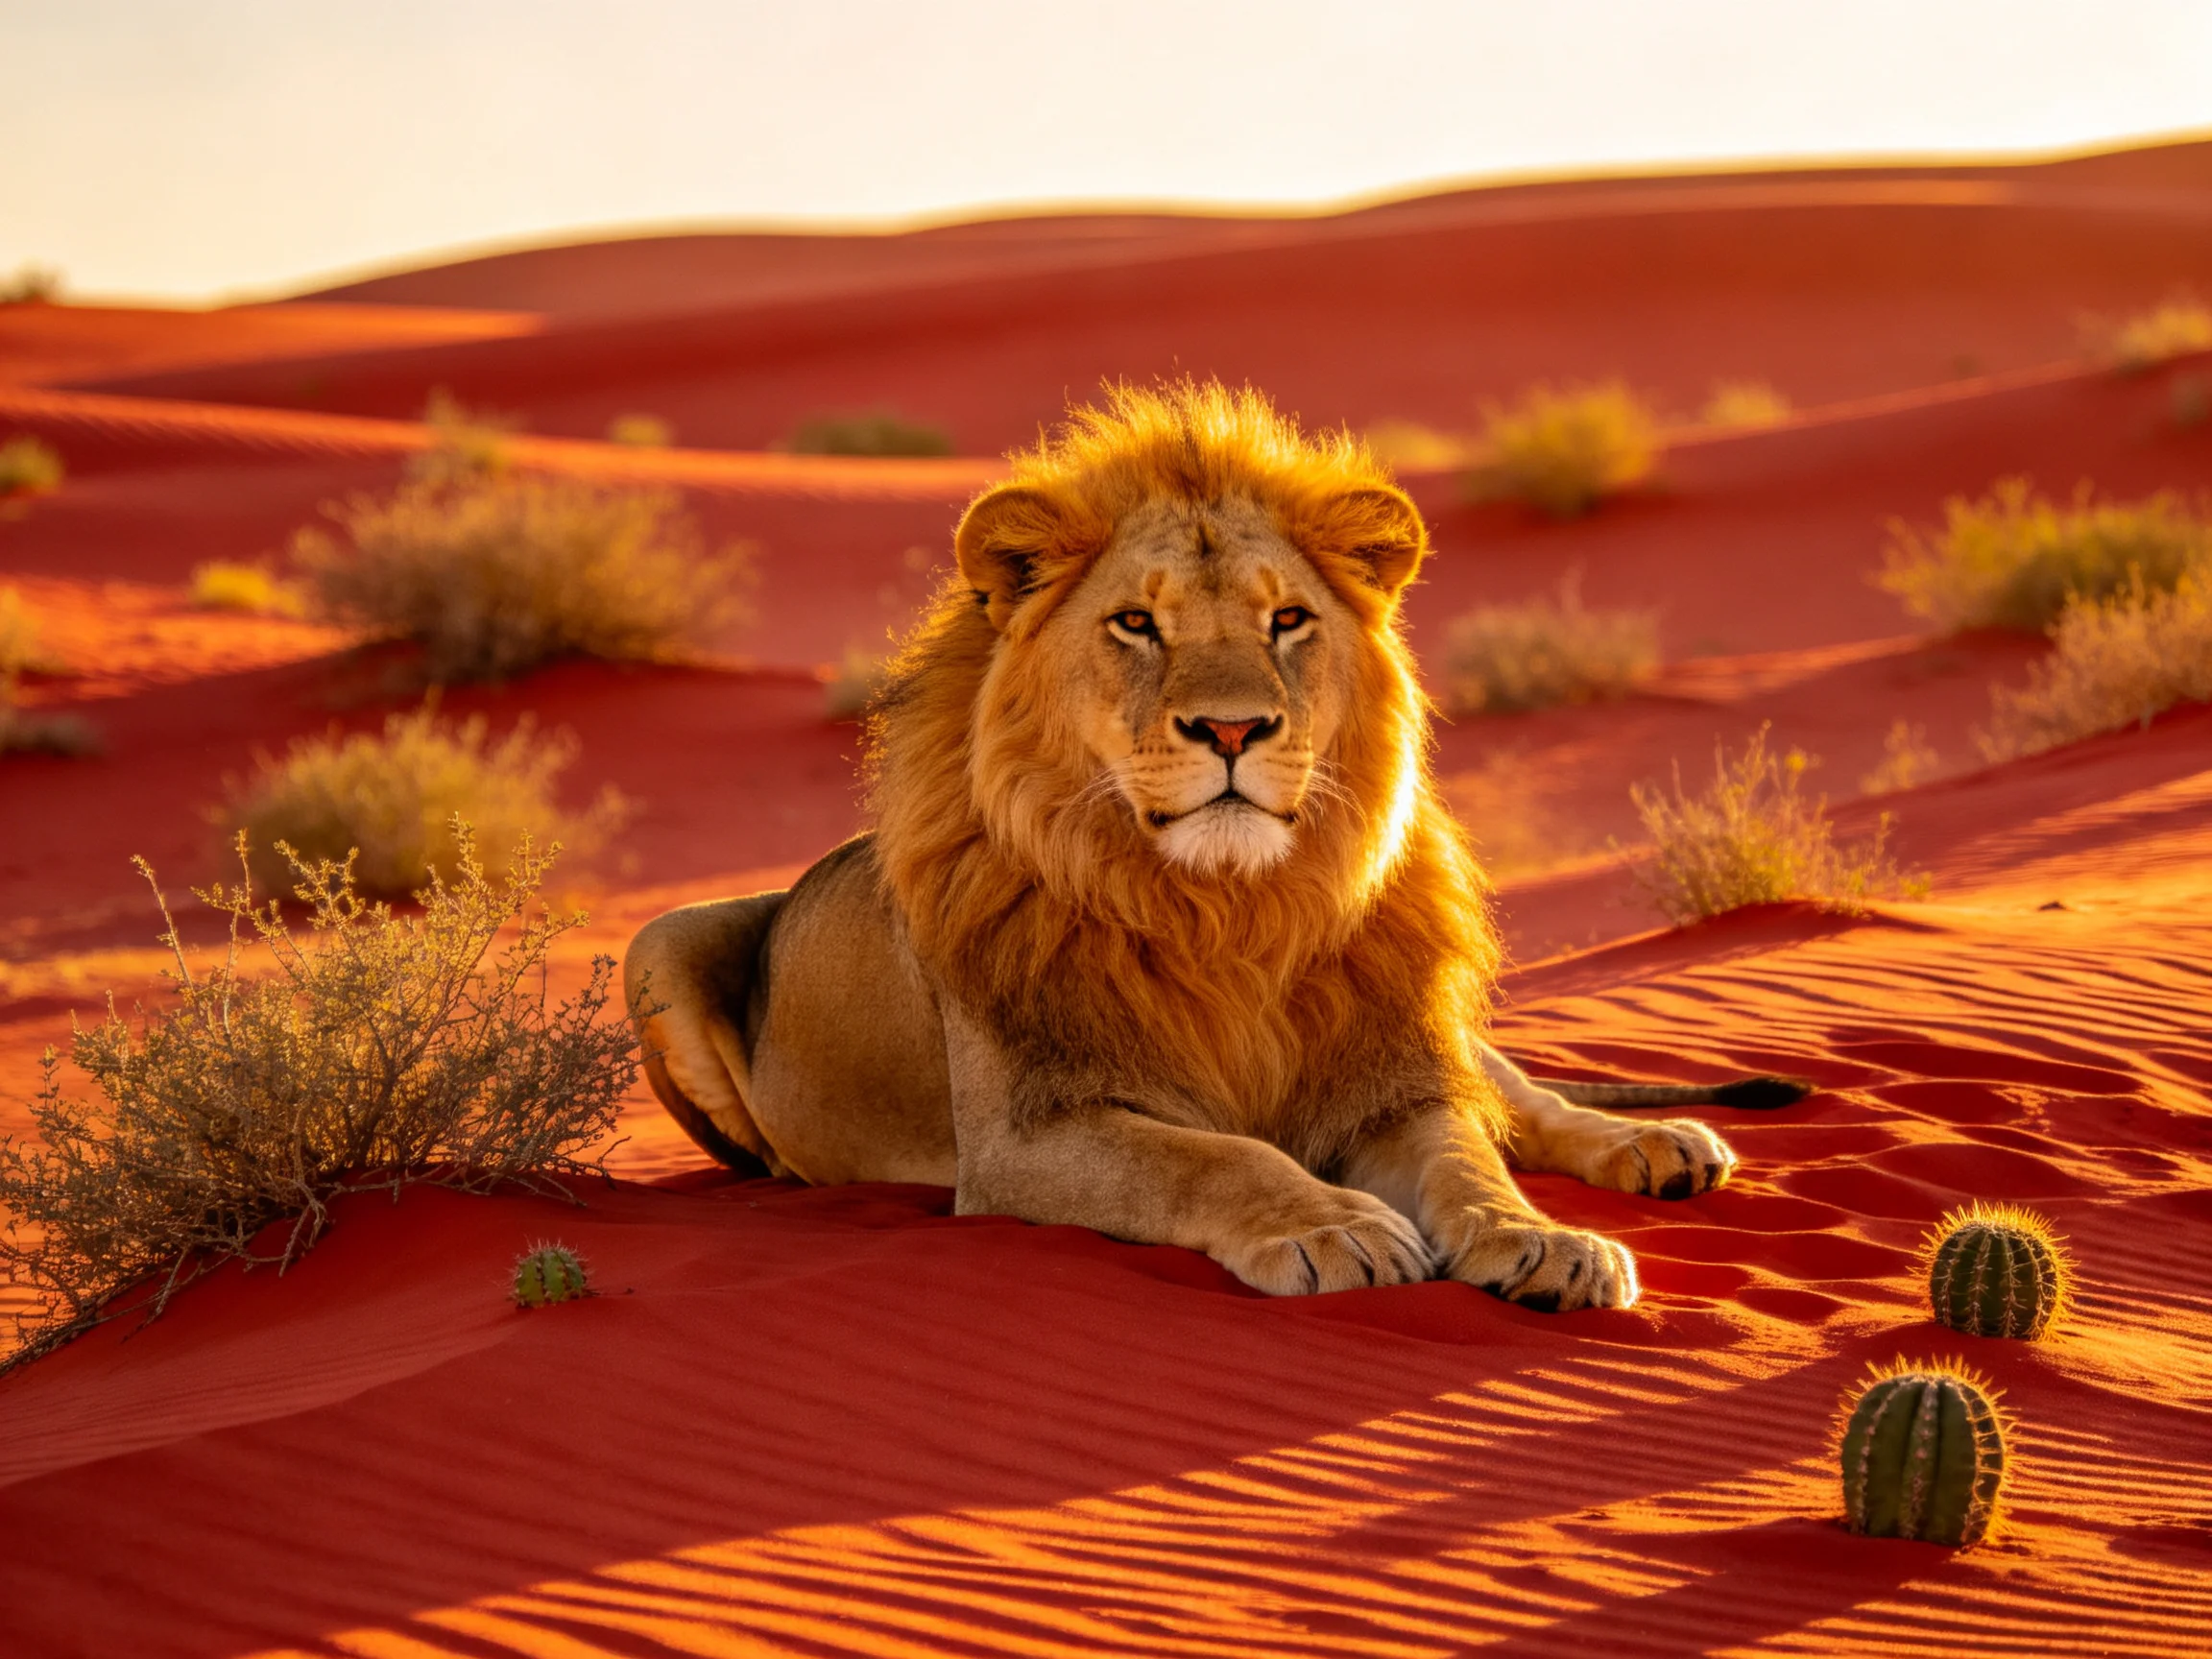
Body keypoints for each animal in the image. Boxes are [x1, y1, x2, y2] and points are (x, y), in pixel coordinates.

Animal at [624, 381, 1804, 1310]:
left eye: (1287, 620)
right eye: (1137, 625)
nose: (1234, 730)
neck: (1226, 905)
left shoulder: (1391, 1074)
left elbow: (1472, 1161)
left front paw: (1540, 1240)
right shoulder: (1030, 1135)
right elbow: (1212, 1157)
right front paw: (1336, 1226)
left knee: (1518, 1098)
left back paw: (1656, 1146)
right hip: (658, 945)